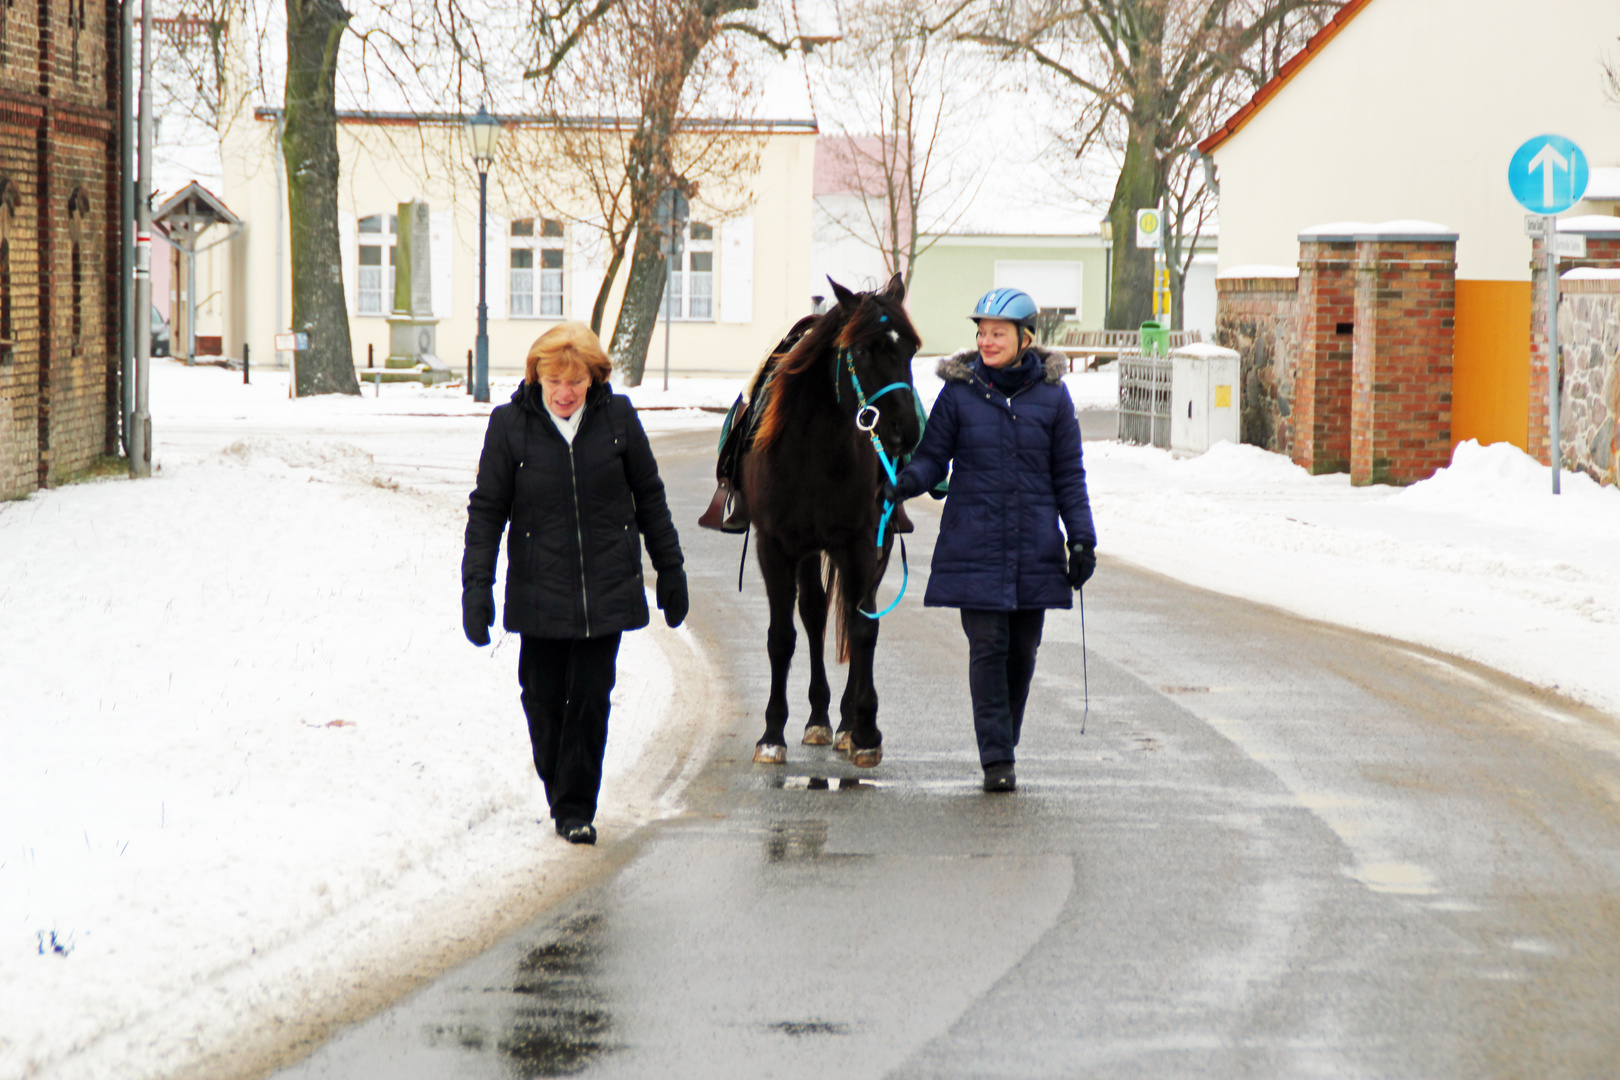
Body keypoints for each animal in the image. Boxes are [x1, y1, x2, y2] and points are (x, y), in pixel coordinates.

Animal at [738, 278, 920, 767]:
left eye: (911, 349)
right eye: (863, 349)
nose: (908, 430)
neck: (813, 449)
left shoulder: (860, 542)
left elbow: (863, 627)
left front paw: (865, 730)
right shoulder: (775, 546)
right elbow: (782, 636)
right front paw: (771, 734)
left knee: (854, 614)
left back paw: (843, 724)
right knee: (815, 614)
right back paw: (818, 717)